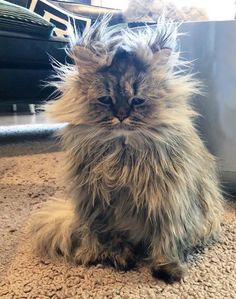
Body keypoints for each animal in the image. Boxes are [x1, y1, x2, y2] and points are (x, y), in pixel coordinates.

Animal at [29, 16, 223, 284]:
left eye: (137, 101)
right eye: (105, 99)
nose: (121, 115)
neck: (122, 155)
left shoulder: (171, 201)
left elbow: (168, 238)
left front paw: (168, 267)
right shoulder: (96, 203)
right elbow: (106, 236)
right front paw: (114, 257)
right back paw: (96, 254)